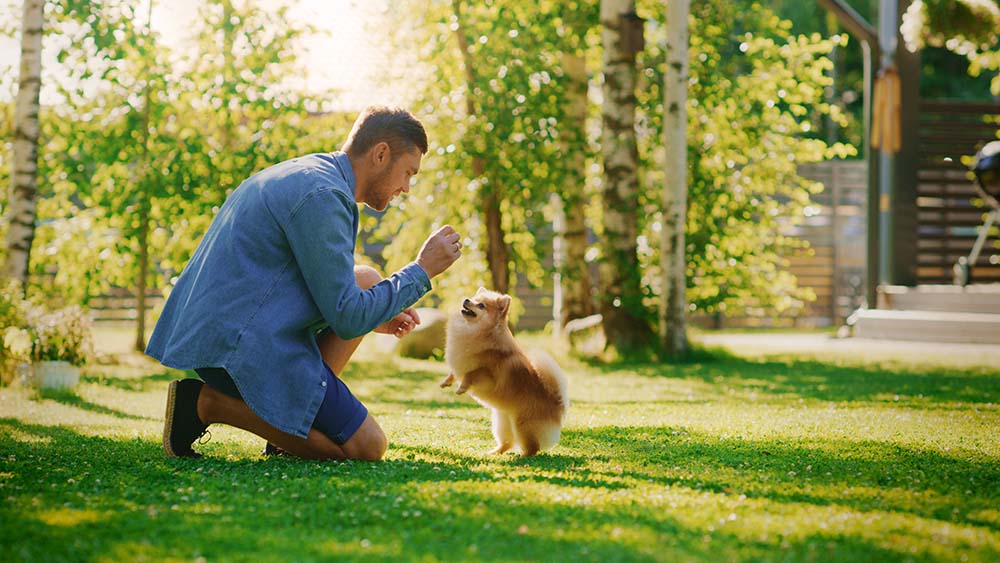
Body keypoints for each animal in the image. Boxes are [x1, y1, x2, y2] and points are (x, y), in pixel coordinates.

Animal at [440, 288, 568, 456]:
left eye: (481, 305)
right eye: (474, 298)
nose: (466, 299)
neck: (477, 332)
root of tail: (556, 402)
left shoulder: (488, 375)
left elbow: (471, 374)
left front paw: (461, 388)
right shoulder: (461, 362)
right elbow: (454, 372)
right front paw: (446, 381)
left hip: (523, 425)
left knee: (533, 447)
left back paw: (523, 457)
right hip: (502, 420)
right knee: (508, 442)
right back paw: (493, 453)